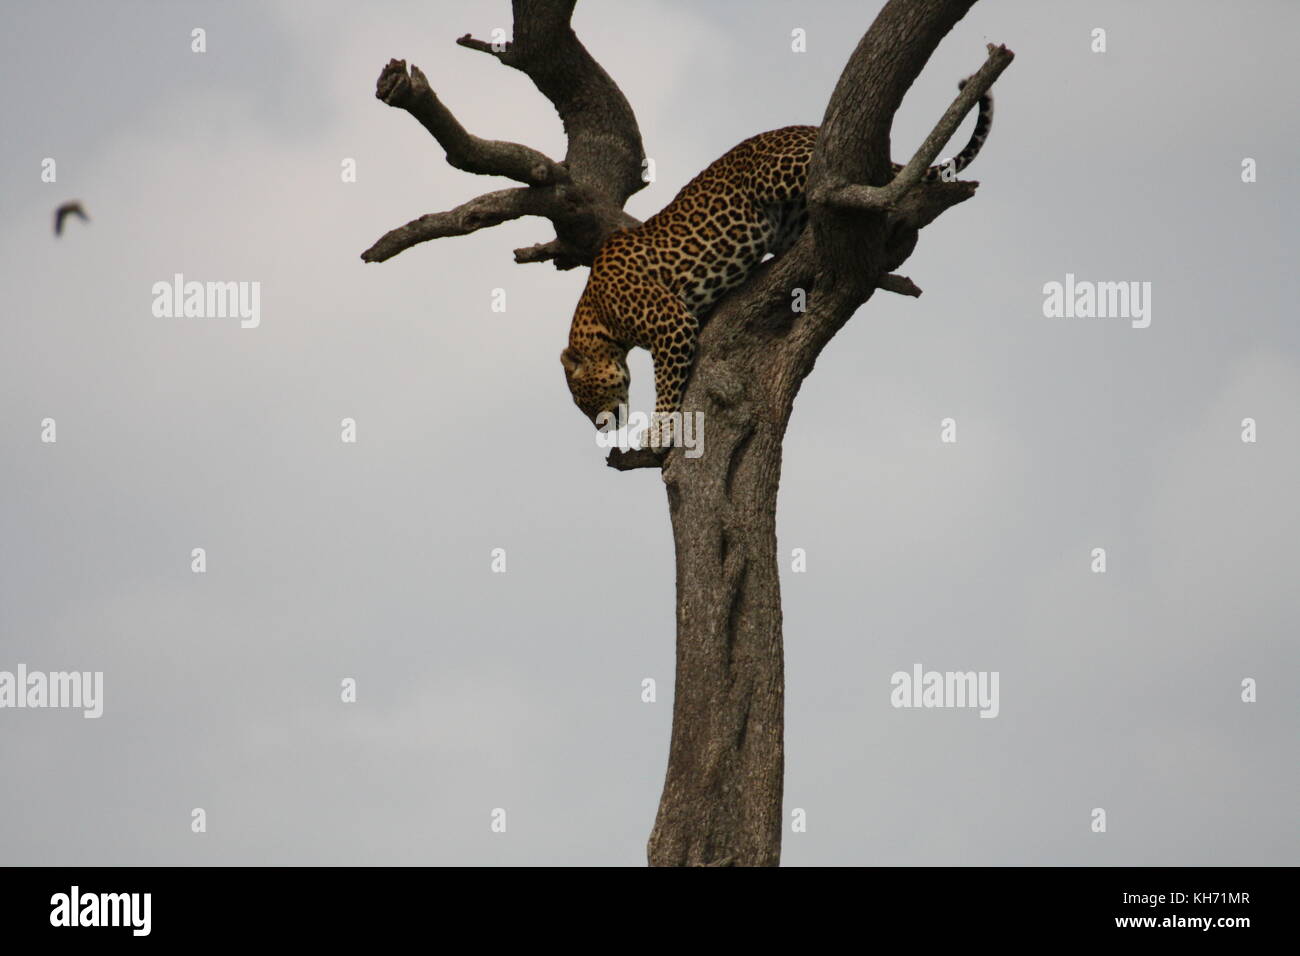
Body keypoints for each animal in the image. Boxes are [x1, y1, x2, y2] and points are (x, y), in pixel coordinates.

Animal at [561, 80, 993, 450]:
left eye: (586, 399)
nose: (605, 428)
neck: (597, 314)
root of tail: (807, 127)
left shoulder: (671, 323)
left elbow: (665, 385)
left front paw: (659, 431)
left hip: (778, 173)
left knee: (861, 172)